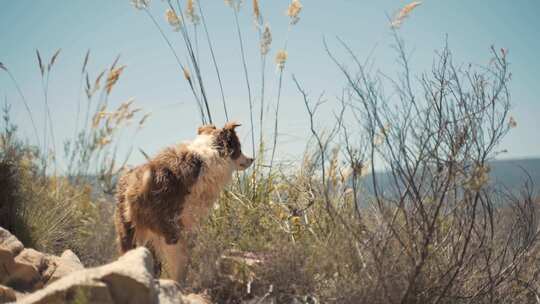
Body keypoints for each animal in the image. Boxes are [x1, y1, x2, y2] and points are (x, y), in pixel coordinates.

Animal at [114, 121, 253, 282]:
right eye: (239, 147)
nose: (252, 159)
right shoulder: (187, 222)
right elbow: (181, 259)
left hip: (129, 227)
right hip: (167, 226)